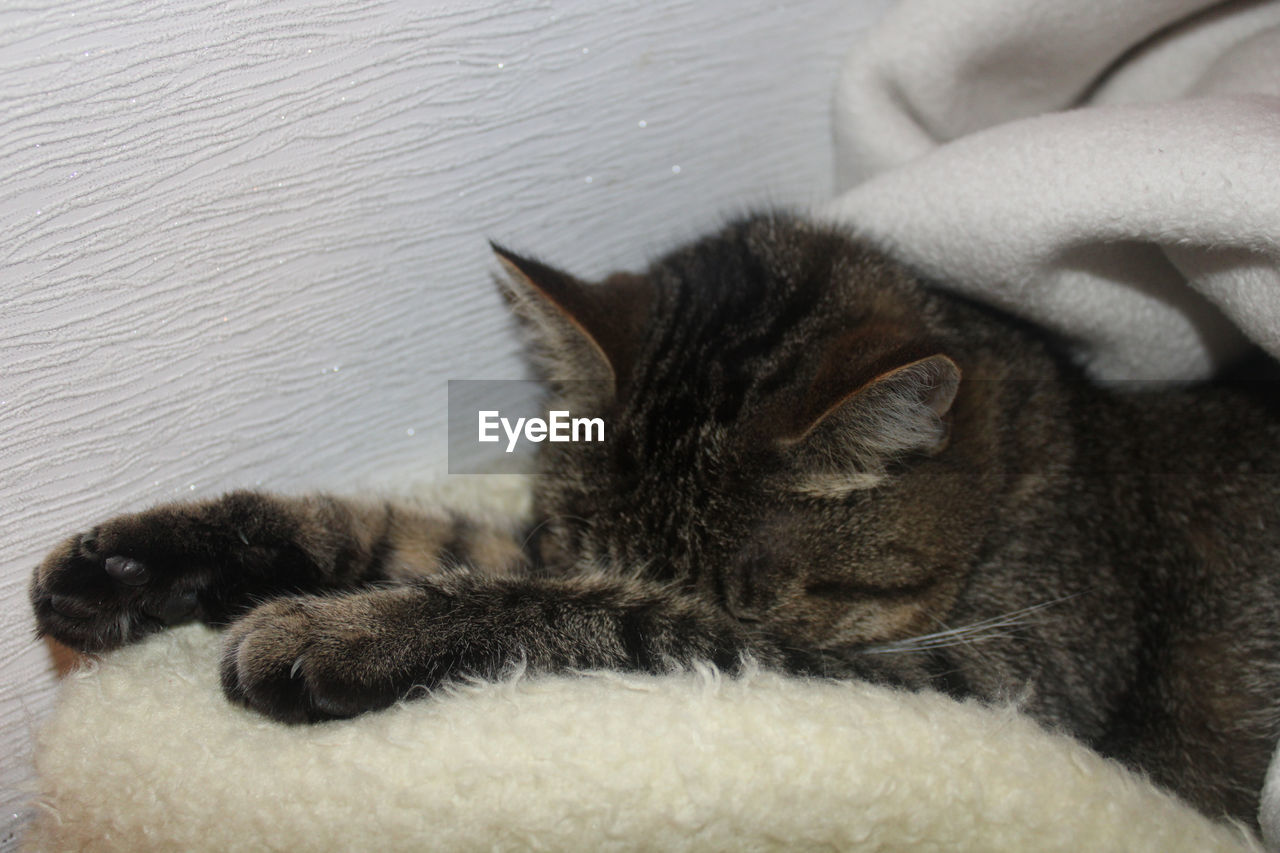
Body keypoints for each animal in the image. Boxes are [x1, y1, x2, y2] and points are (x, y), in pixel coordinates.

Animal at [27, 211, 1280, 824]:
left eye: (743, 593)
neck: (1026, 467)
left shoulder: (990, 679)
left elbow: (574, 612)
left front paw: (345, 636)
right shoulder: (541, 540)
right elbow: (404, 539)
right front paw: (135, 564)